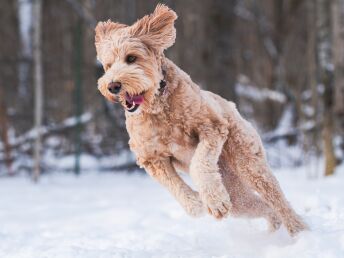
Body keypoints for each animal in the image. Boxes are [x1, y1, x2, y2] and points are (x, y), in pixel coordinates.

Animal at [93, 3, 306, 236]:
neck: (158, 108)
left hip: (249, 163)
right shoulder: (151, 157)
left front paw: (213, 200)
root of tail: (233, 106)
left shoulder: (211, 127)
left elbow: (199, 163)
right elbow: (173, 185)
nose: (113, 86)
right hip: (238, 198)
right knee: (264, 207)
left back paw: (299, 231)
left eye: (131, 58)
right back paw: (273, 227)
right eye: (108, 65)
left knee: (277, 200)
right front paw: (197, 203)